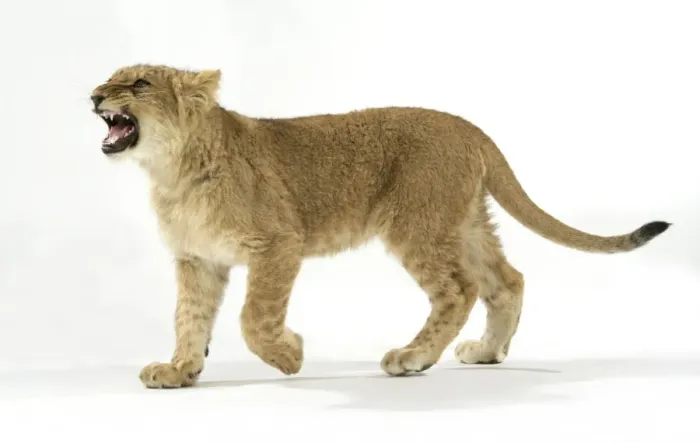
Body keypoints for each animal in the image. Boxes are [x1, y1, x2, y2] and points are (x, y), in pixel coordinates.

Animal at [89, 64, 670, 388]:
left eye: (139, 83)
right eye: (112, 77)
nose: (94, 95)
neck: (170, 172)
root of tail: (468, 126)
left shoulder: (279, 243)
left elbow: (255, 318)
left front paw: (290, 356)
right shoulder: (198, 260)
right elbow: (189, 318)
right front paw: (180, 370)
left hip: (417, 225)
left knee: (459, 289)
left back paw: (412, 358)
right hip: (462, 221)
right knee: (507, 281)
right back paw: (486, 352)